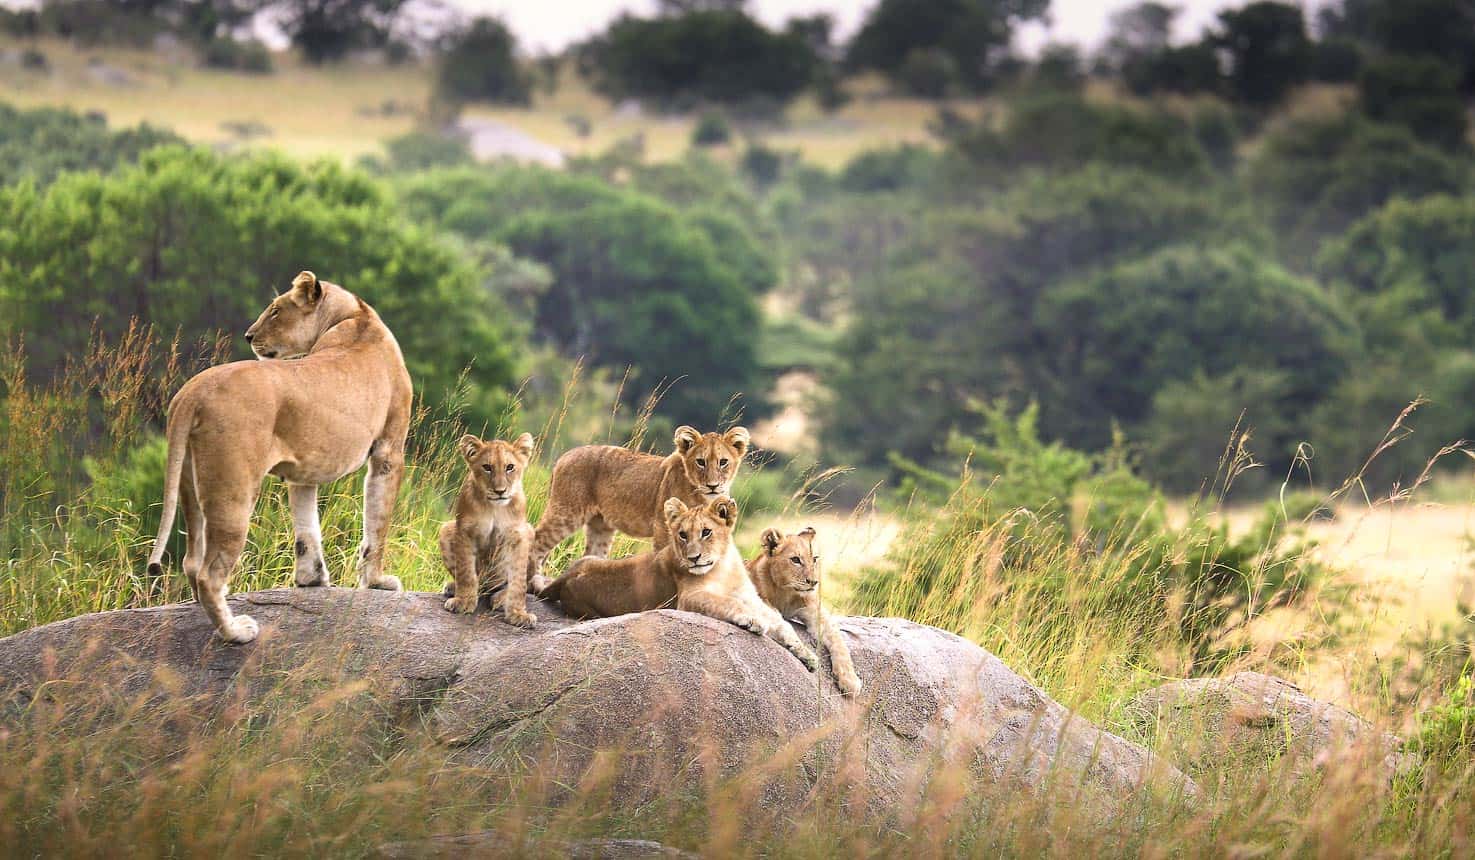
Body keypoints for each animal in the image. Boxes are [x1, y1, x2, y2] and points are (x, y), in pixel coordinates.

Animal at [145, 271, 413, 643]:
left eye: (275, 311)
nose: (248, 335)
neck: (353, 315)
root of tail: (193, 390)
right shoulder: (389, 450)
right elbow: (378, 522)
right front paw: (377, 582)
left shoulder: (306, 465)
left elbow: (306, 528)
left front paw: (312, 580)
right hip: (234, 490)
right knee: (209, 573)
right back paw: (236, 631)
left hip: (188, 483)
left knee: (191, 562)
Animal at [438, 432, 538, 627]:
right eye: (487, 467)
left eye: (510, 467)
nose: (500, 491)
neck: (494, 508)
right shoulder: (464, 531)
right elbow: (466, 571)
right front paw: (463, 602)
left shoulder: (519, 535)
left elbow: (518, 582)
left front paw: (518, 614)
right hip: (446, 529)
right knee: (475, 582)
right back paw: (454, 587)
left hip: (531, 533)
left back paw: (500, 599)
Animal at [526, 425, 749, 592]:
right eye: (700, 462)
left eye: (723, 462)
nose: (713, 486)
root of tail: (562, 457)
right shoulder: (663, 527)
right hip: (566, 512)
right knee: (536, 540)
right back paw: (533, 584)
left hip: (600, 525)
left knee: (591, 554)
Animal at [539, 495, 818, 671]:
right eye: (682, 535)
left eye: (706, 532)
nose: (693, 558)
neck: (723, 567)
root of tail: (567, 576)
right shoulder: (688, 598)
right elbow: (728, 603)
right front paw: (752, 621)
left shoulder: (751, 597)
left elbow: (782, 624)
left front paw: (807, 655)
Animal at [748, 527, 863, 696]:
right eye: (795, 560)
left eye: (814, 559)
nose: (814, 582)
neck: (787, 592)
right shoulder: (762, 602)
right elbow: (784, 625)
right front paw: (807, 656)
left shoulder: (815, 611)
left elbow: (838, 641)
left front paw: (850, 681)